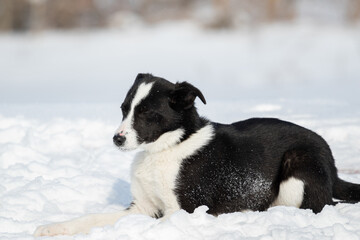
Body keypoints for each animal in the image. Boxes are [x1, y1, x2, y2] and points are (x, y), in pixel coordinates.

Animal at [34, 73, 360, 236]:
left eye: (148, 114)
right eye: (124, 109)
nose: (117, 139)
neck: (166, 147)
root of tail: (332, 163)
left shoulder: (183, 211)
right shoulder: (142, 206)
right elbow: (91, 218)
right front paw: (53, 227)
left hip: (296, 167)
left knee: (315, 205)